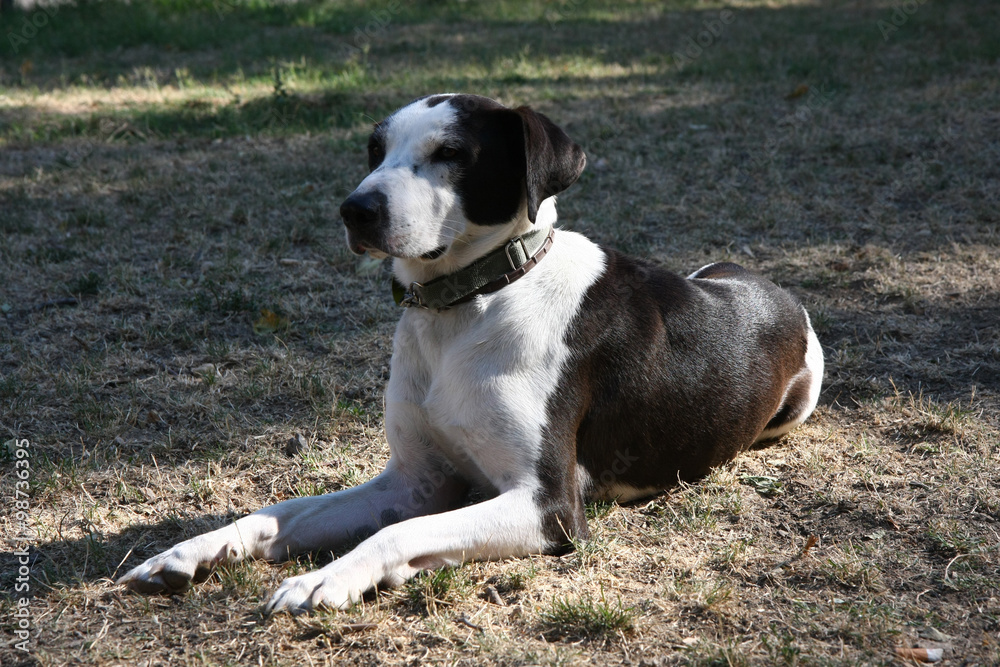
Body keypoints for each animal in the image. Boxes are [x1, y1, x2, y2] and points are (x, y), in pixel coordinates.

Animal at [117, 94, 824, 616]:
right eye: (375, 150)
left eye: (451, 152)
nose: (354, 209)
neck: (469, 303)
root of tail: (767, 285)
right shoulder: (413, 481)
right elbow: (278, 511)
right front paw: (190, 552)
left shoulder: (547, 507)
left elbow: (397, 532)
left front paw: (325, 578)